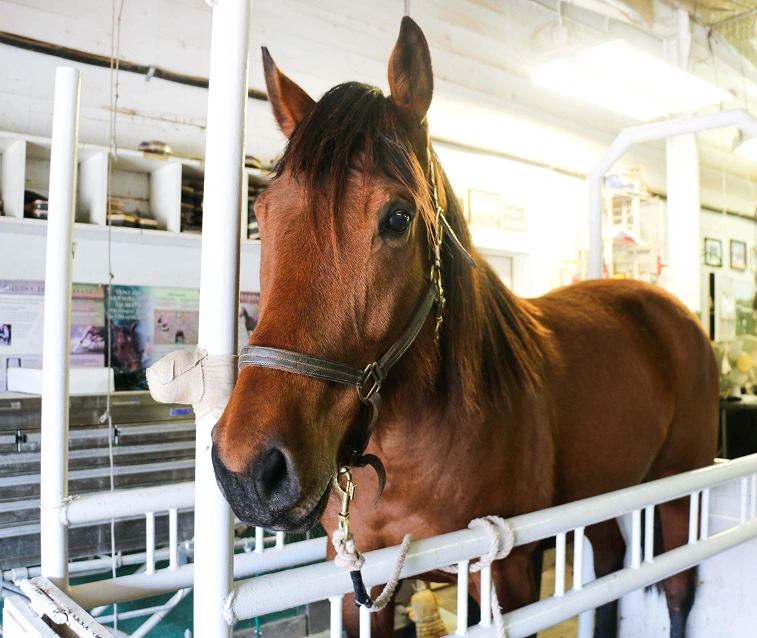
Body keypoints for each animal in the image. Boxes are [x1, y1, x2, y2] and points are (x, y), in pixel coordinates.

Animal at [211, 17, 719, 638]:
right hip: (604, 490)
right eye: (262, 214)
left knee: (678, 589)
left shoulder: (510, 573)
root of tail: (671, 312)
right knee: (610, 566)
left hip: (680, 491)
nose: (249, 471)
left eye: (398, 218)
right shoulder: (360, 585)